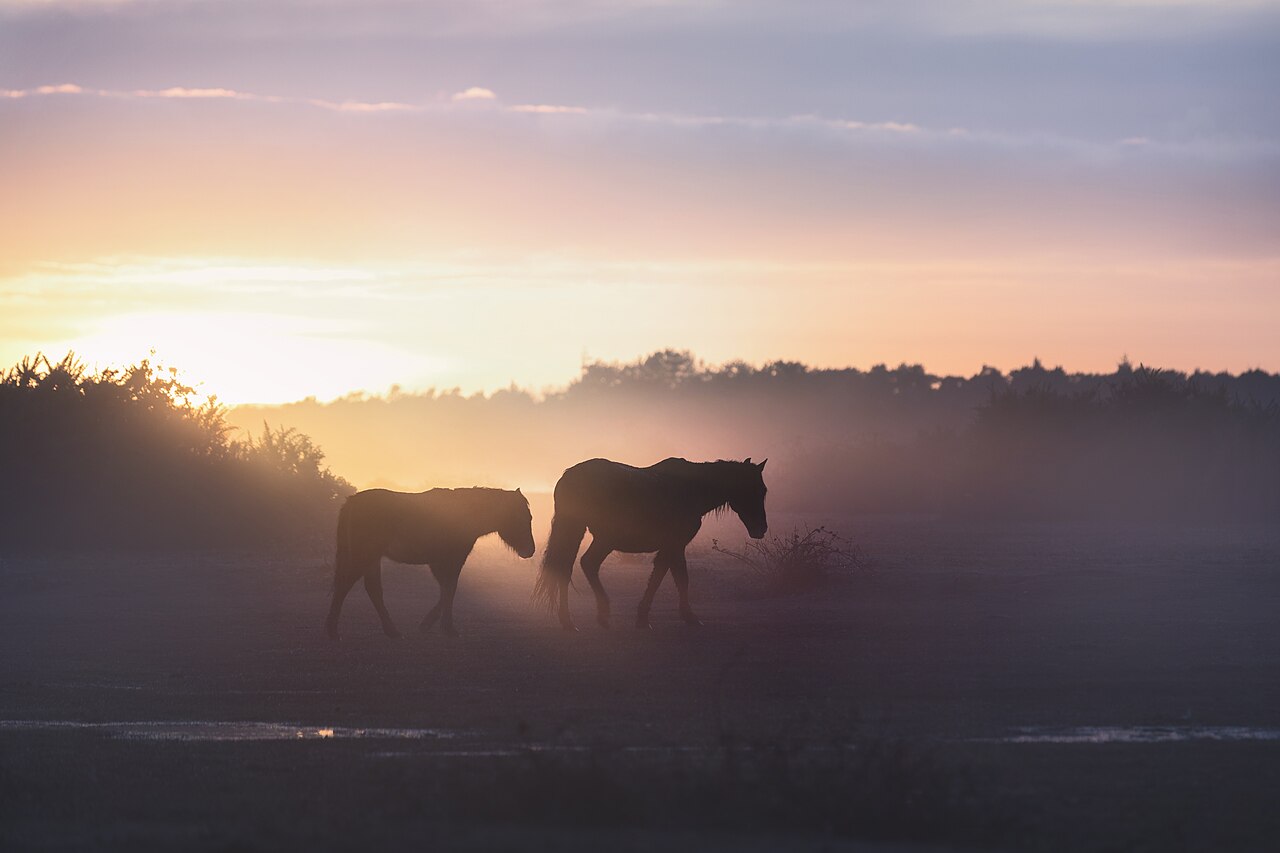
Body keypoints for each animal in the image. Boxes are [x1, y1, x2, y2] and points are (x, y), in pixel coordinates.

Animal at [325, 487, 535, 639]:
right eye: (521, 516)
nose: (530, 550)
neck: (460, 513)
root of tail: (352, 502)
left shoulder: (443, 562)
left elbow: (447, 590)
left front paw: (430, 624)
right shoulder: (449, 560)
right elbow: (449, 589)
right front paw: (446, 627)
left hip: (372, 558)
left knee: (373, 590)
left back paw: (391, 631)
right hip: (364, 556)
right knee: (346, 585)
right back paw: (333, 631)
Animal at [534, 457, 768, 630]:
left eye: (763, 490)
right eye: (756, 489)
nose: (761, 529)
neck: (691, 489)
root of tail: (569, 476)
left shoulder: (673, 547)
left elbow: (670, 576)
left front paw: (663, 615)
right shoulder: (674, 545)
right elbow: (670, 578)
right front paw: (670, 617)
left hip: (590, 535)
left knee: (573, 567)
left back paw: (577, 619)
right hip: (596, 536)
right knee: (581, 565)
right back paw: (591, 615)